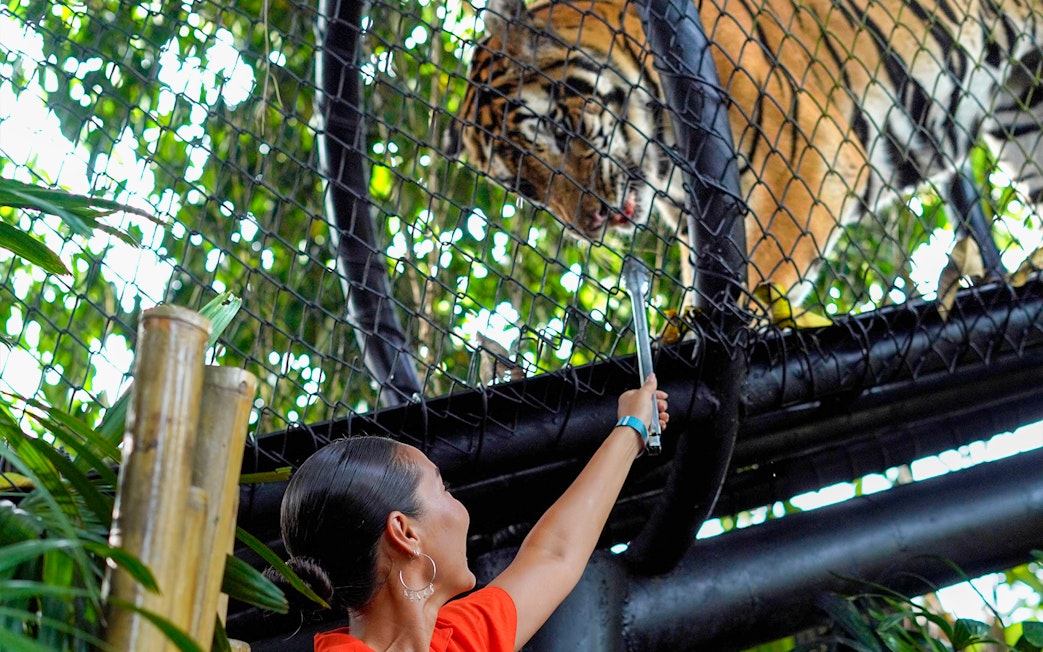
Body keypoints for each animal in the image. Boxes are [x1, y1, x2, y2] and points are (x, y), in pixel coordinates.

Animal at [447, 0, 1043, 324]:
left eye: (560, 130)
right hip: (1025, 112)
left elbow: (755, 274)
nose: (589, 223)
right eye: (525, 187)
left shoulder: (804, 161)